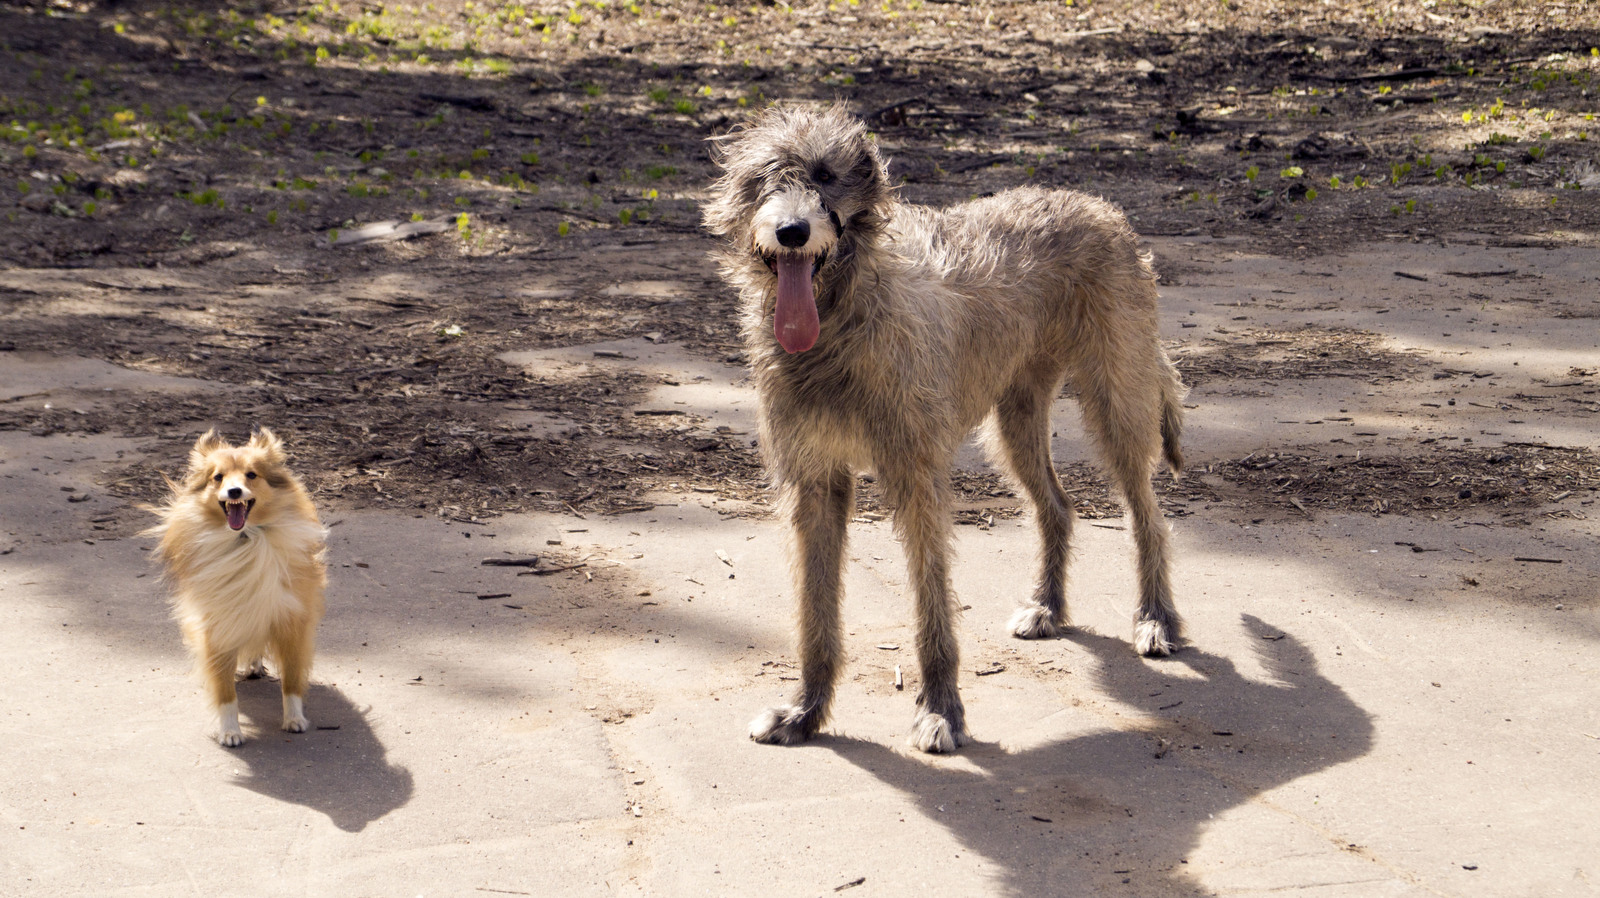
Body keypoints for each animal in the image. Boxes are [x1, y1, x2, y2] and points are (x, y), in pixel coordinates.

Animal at [148, 425, 326, 742]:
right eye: (217, 477)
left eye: (251, 475)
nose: (234, 491)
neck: (245, 539)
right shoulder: (217, 624)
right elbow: (224, 689)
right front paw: (229, 730)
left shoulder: (292, 618)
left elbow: (292, 679)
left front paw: (294, 718)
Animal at [704, 103, 1190, 749]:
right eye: (762, 178)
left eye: (825, 175)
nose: (792, 232)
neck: (844, 315)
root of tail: (1099, 206)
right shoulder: (815, 483)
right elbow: (815, 611)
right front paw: (804, 712)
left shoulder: (917, 479)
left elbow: (931, 603)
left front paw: (940, 710)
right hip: (1014, 420)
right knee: (1057, 505)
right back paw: (1048, 606)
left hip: (1117, 399)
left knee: (1146, 513)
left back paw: (1156, 618)